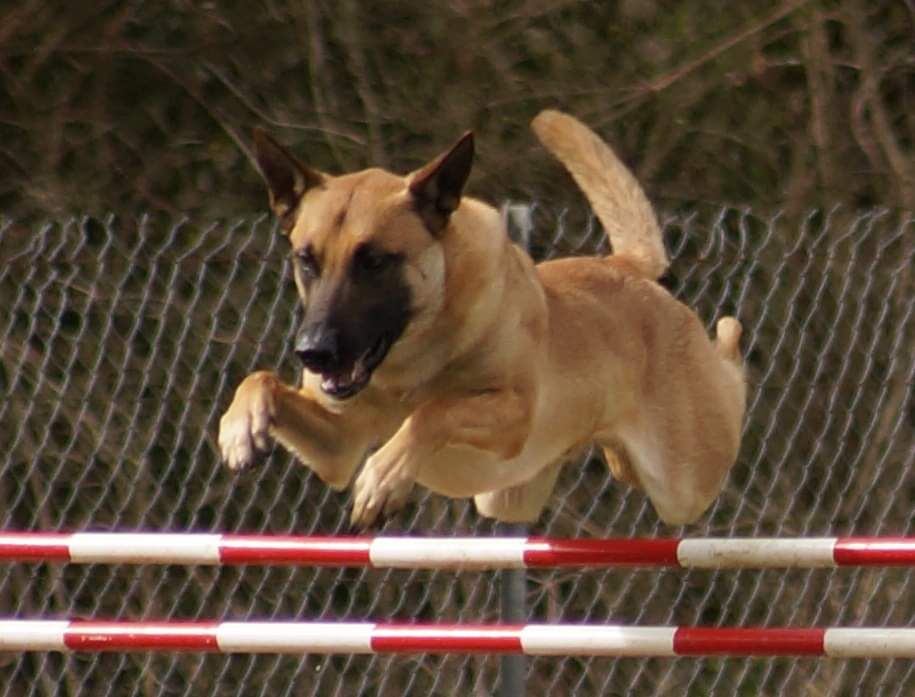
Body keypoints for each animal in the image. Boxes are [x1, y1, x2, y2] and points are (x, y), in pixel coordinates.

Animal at [218, 109, 746, 528]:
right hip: (511, 497)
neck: (407, 362)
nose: (313, 352)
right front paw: (239, 428)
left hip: (684, 481)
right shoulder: (338, 443)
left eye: (373, 261)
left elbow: (434, 411)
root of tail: (624, 268)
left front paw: (384, 478)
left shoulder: (514, 413)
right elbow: (260, 379)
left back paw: (729, 339)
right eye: (306, 260)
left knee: (729, 380)